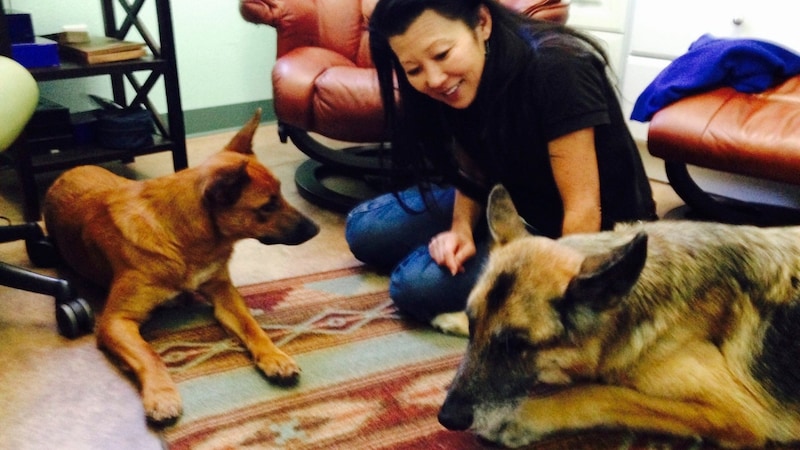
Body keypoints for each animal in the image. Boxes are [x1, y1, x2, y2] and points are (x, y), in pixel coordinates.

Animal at [43, 110, 318, 426]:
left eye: (281, 196)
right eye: (267, 207)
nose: (316, 229)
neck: (183, 237)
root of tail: (65, 173)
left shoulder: (224, 294)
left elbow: (252, 326)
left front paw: (274, 355)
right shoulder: (115, 322)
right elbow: (149, 354)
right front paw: (161, 395)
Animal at [438, 185, 800, 448]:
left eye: (516, 345)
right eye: (475, 325)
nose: (446, 418)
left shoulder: (736, 413)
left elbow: (601, 393)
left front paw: (523, 417)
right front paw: (452, 318)